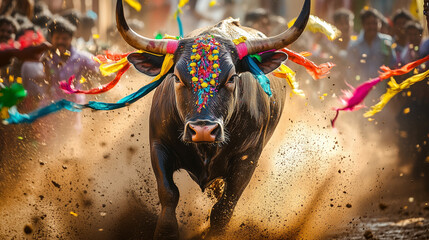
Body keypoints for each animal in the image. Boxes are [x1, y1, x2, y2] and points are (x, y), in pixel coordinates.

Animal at [115, 0, 308, 238]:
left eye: (232, 78)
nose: (203, 130)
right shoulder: (158, 146)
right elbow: (169, 193)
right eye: (176, 77)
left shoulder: (248, 159)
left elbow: (223, 209)